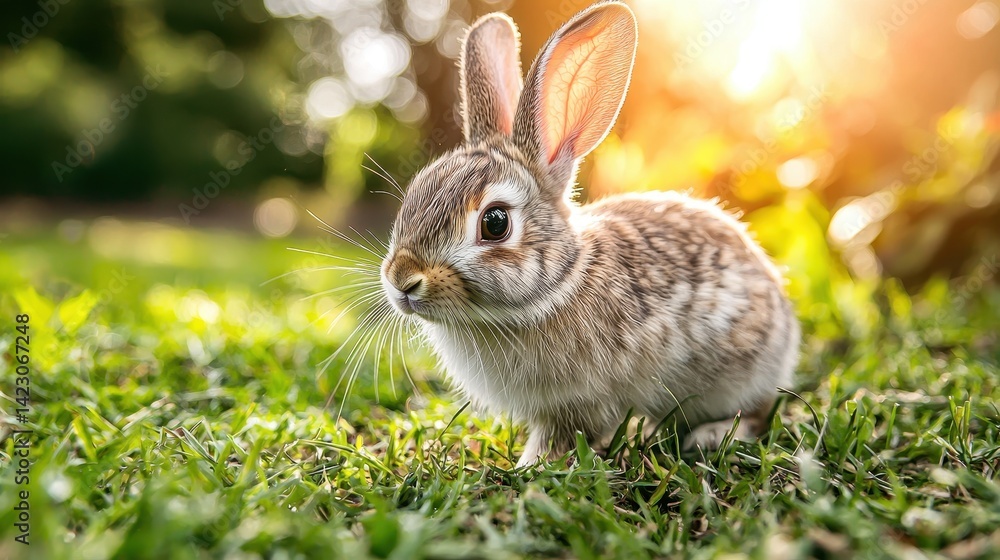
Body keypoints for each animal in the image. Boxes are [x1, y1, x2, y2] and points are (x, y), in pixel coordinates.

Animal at [379, 0, 800, 468]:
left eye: (495, 223)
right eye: (415, 192)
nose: (402, 280)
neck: (558, 286)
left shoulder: (580, 403)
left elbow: (560, 436)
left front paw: (529, 466)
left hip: (742, 373)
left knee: (759, 412)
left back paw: (712, 434)